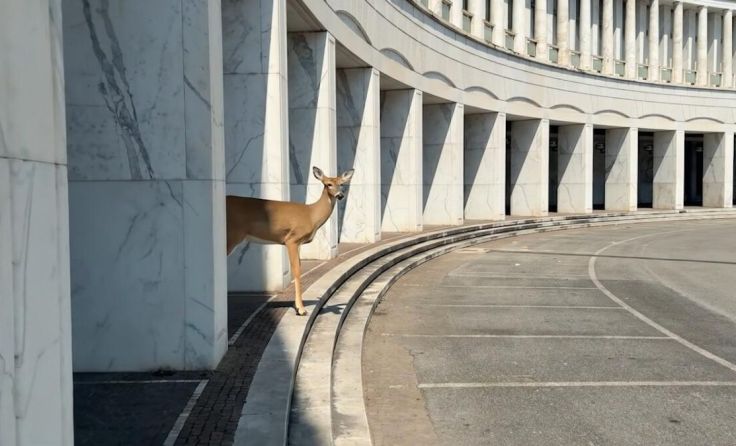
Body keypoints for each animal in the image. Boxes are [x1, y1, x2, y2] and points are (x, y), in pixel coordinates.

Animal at [226, 166, 354, 316]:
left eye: (342, 184)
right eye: (328, 184)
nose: (340, 195)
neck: (311, 215)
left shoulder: (299, 243)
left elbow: (299, 267)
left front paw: (298, 306)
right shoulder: (292, 239)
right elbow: (297, 269)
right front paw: (301, 309)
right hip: (232, 234)